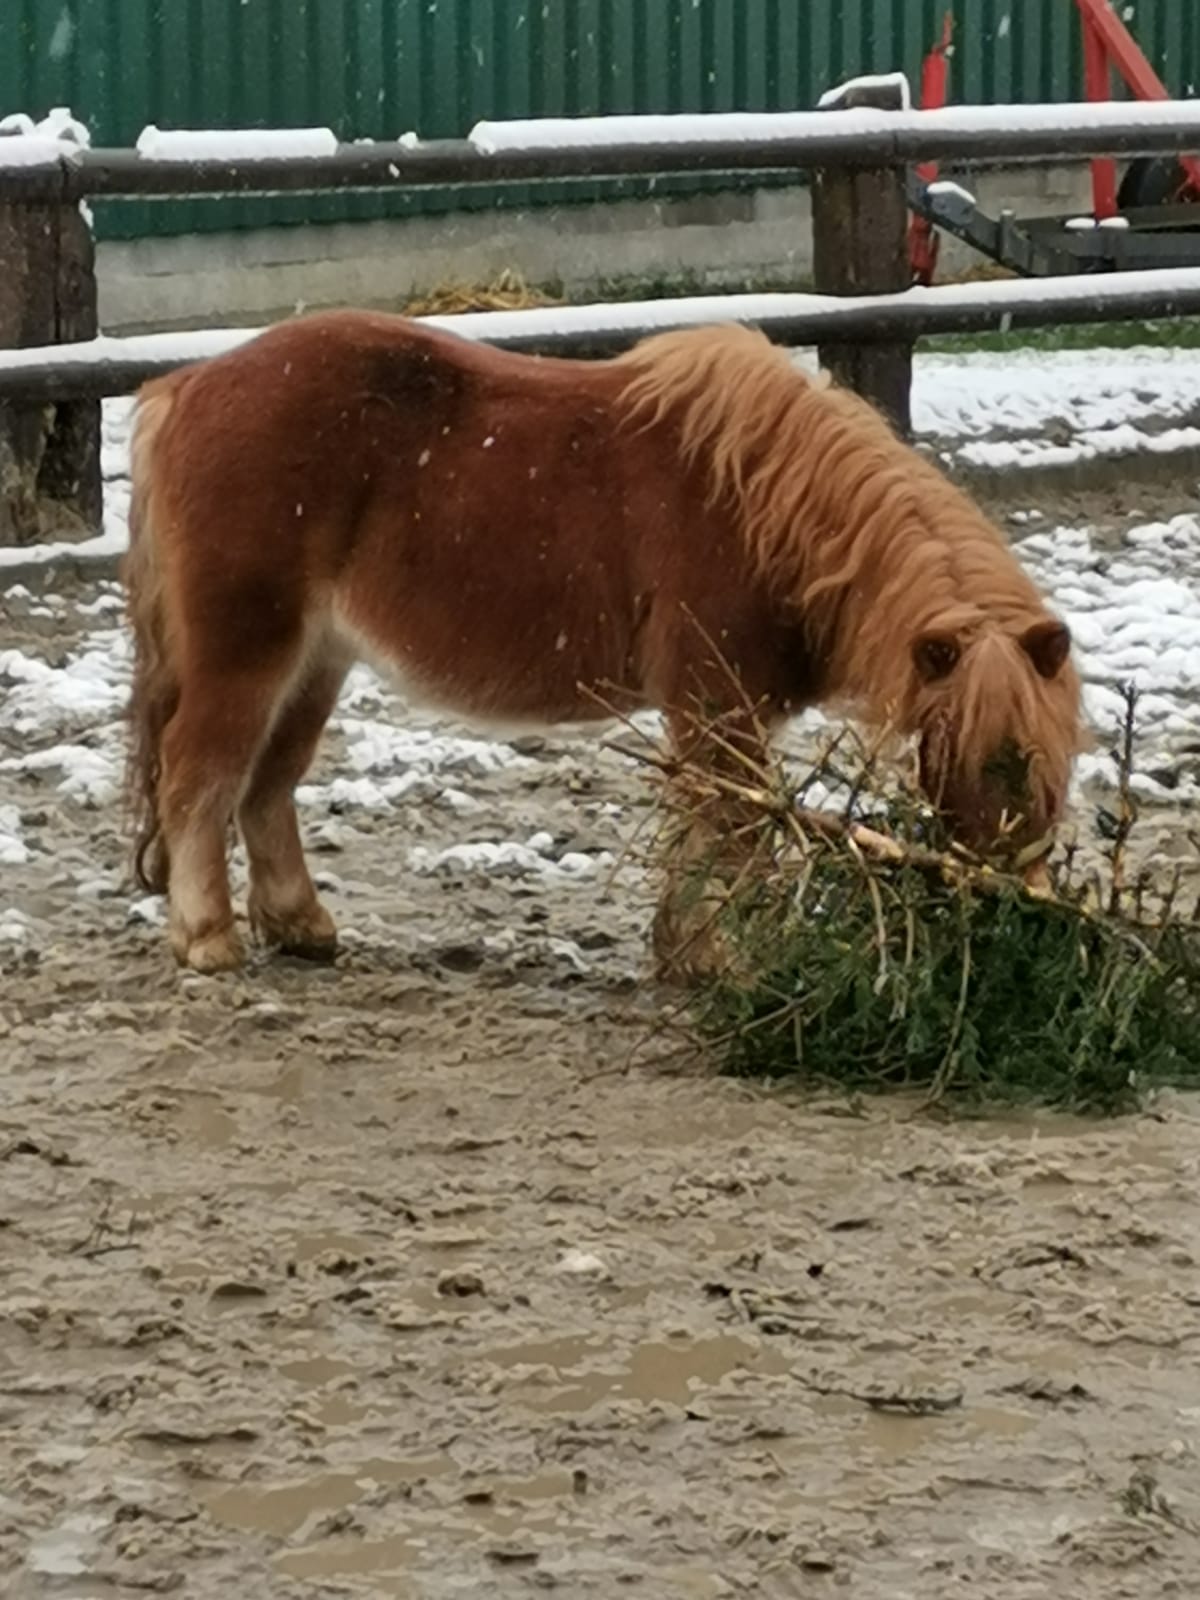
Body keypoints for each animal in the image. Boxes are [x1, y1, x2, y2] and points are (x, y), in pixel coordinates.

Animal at [122, 310, 1084, 976]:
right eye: (965, 751)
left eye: (1045, 760)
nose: (1011, 912)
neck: (771, 511)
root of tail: (187, 387)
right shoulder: (715, 704)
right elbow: (729, 832)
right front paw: (720, 961)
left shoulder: (723, 715)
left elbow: (706, 828)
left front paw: (685, 953)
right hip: (248, 652)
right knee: (200, 776)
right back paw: (207, 940)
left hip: (317, 662)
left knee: (266, 785)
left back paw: (301, 927)